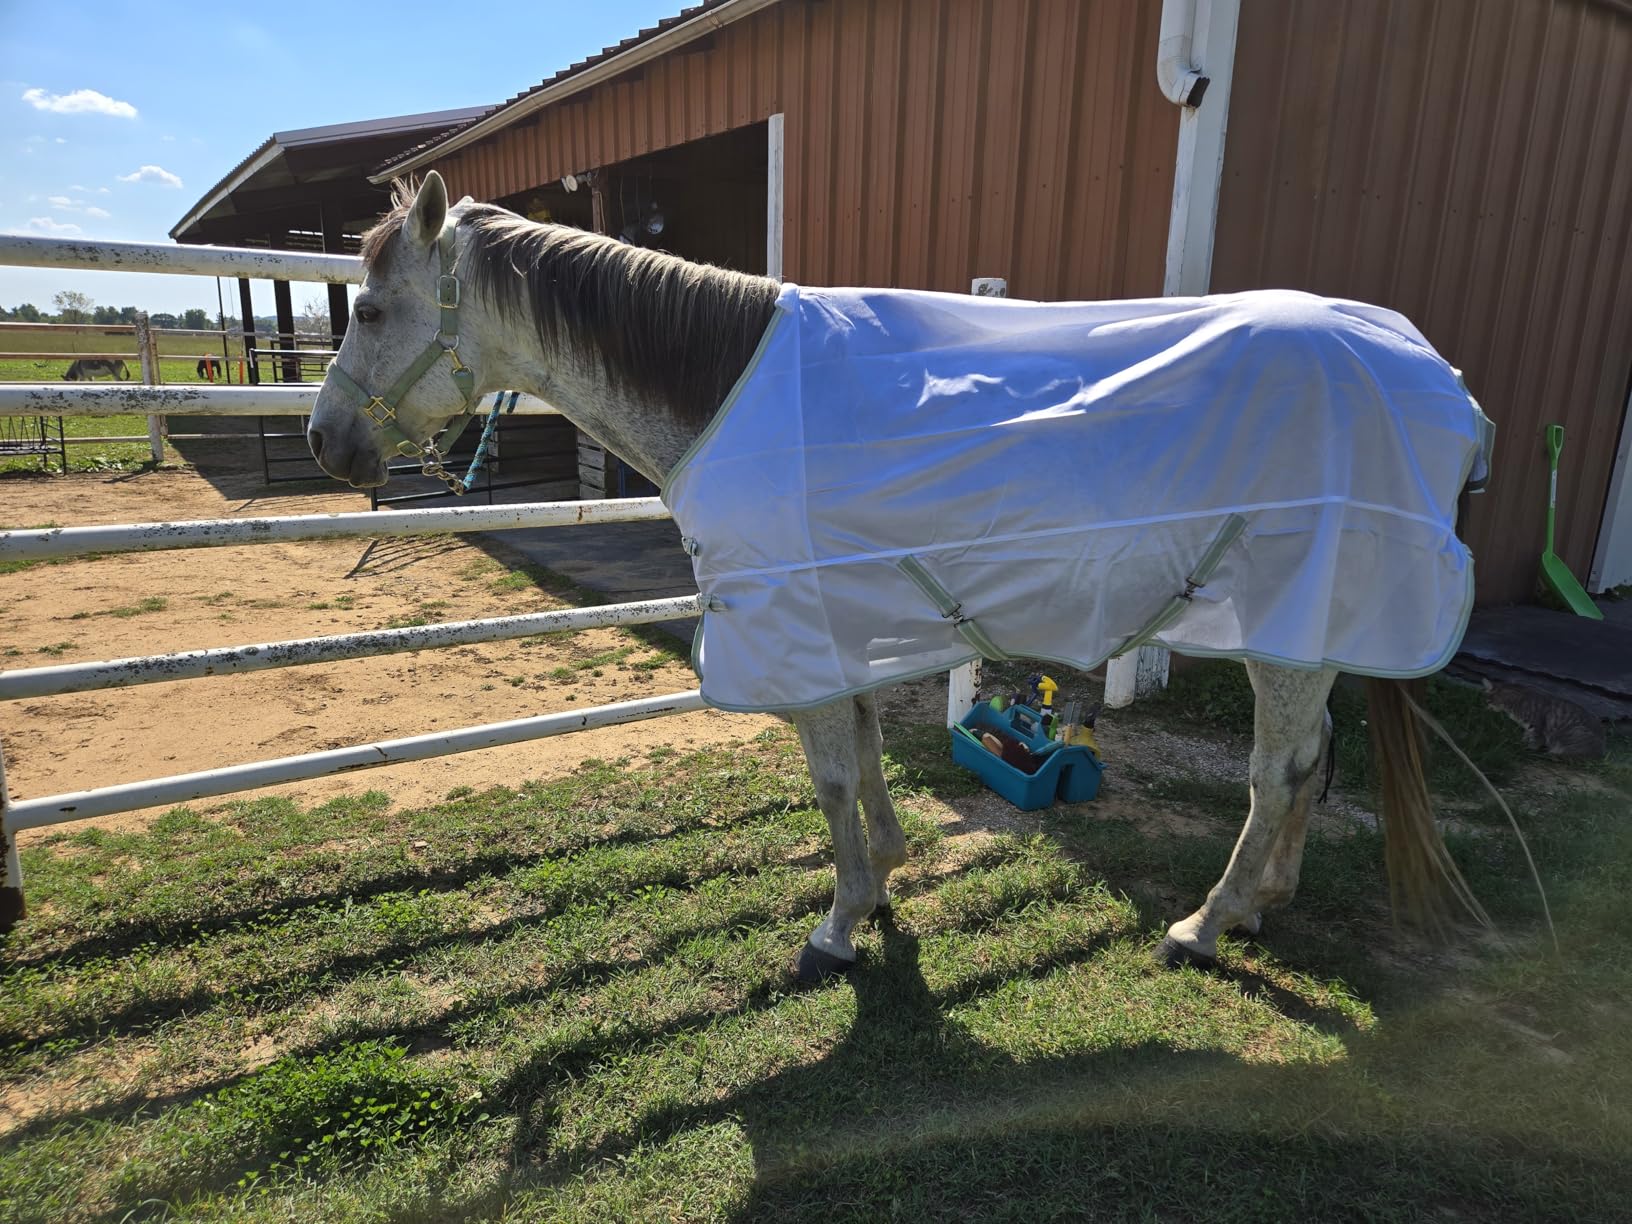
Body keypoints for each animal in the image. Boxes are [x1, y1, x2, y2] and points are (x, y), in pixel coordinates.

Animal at [308, 172, 1486, 983]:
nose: (328, 444)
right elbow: (868, 762)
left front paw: (835, 927)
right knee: (1310, 759)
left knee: (1278, 770)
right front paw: (878, 888)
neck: (727, 391)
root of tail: (1444, 382)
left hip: (1289, 620)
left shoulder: (796, 634)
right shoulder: (838, 623)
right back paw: (1262, 904)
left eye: (368, 311)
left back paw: (1203, 925)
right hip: (1307, 627)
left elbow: (831, 780)